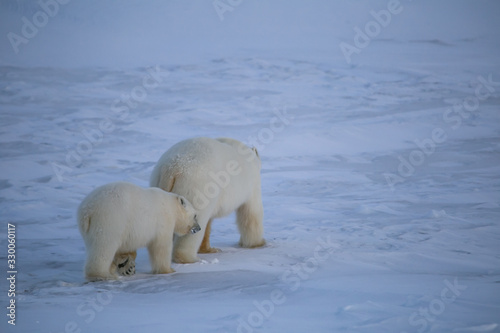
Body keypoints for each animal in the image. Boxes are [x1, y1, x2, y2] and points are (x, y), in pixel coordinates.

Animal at [150, 136, 264, 264]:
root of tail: (172, 168)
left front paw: (208, 249)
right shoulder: (252, 183)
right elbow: (251, 213)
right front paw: (258, 243)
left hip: (158, 184)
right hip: (196, 187)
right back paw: (189, 258)